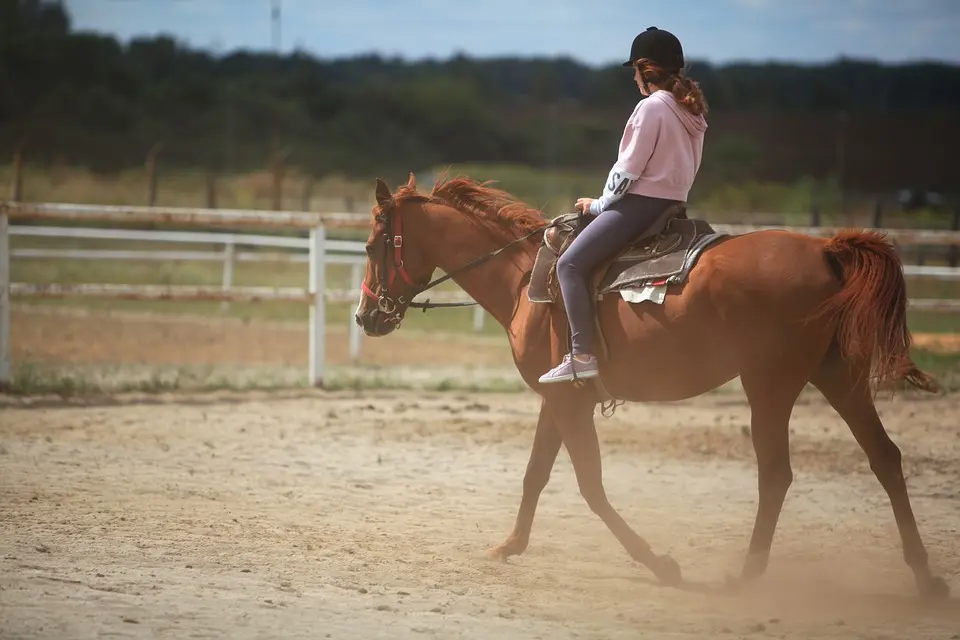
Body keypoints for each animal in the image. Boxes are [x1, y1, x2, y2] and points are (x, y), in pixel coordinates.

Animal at [350, 172, 944, 596]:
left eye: (374, 244)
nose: (365, 316)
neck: (523, 280)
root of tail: (826, 250)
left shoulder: (568, 404)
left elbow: (590, 485)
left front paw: (660, 563)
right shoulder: (558, 397)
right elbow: (535, 475)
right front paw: (510, 545)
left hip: (770, 386)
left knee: (777, 474)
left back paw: (748, 574)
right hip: (839, 377)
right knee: (885, 458)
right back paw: (925, 576)